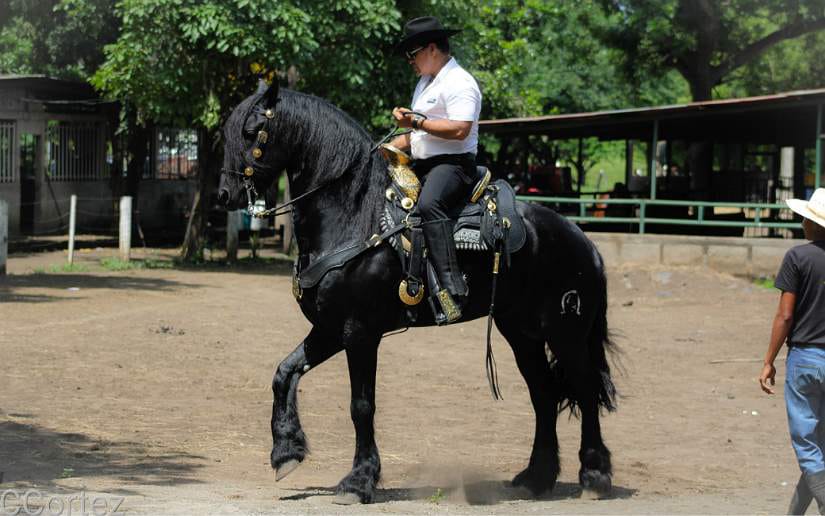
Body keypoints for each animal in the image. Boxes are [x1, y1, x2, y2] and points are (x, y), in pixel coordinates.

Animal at [217, 80, 618, 504]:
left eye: (251, 132)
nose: (225, 194)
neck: (356, 216)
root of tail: (582, 240)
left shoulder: (360, 332)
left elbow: (362, 405)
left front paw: (358, 481)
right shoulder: (330, 329)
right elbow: (284, 372)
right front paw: (286, 452)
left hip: (565, 333)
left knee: (585, 390)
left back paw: (594, 475)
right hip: (522, 333)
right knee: (543, 393)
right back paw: (536, 477)